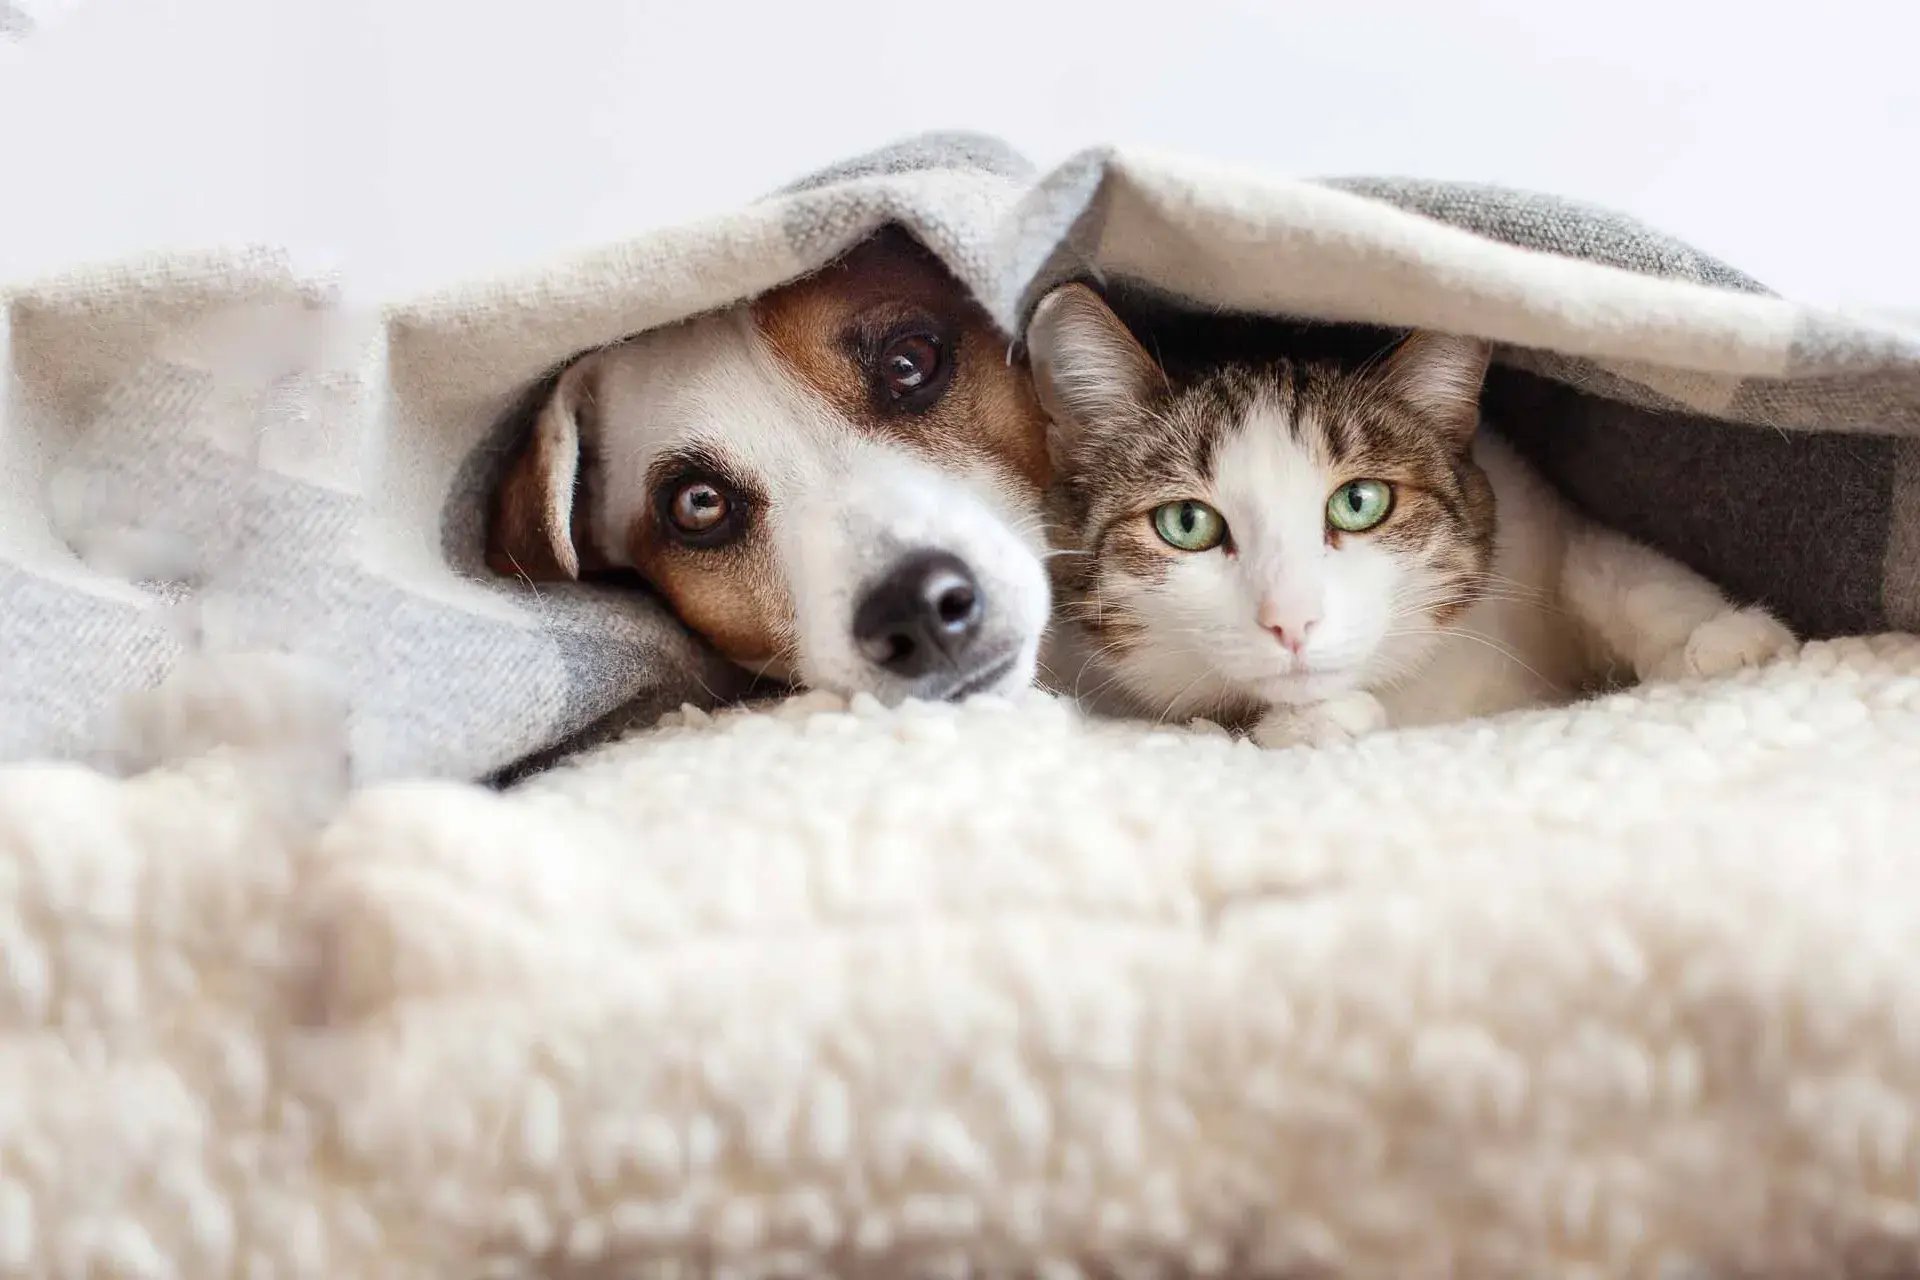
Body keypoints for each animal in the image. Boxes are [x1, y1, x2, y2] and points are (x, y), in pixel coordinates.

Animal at [1029, 287, 1789, 752]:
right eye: (1186, 523)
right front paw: (1313, 721)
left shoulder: (1532, 508)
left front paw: (1725, 639)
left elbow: (1608, 565)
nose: (1292, 621)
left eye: (1360, 502)